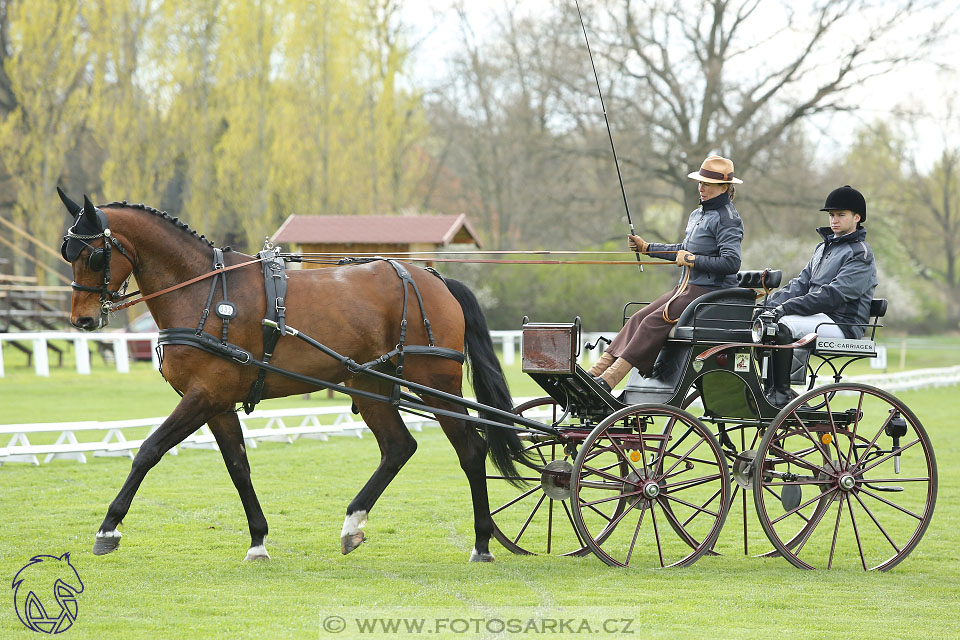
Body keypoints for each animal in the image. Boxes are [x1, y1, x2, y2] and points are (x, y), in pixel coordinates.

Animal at [58, 189, 524, 560]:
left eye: (94, 255)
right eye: (68, 253)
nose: (82, 320)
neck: (203, 292)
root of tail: (431, 277)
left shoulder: (203, 396)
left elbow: (148, 450)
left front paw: (108, 528)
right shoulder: (217, 402)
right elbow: (238, 466)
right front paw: (258, 541)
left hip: (435, 385)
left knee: (471, 451)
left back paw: (482, 543)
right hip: (370, 384)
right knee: (398, 447)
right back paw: (353, 525)